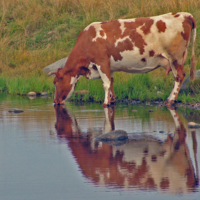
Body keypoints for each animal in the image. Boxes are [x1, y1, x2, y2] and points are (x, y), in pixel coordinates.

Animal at [49, 11, 196, 107]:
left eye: (55, 82)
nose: (55, 102)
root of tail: (184, 14)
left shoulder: (101, 62)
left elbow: (106, 83)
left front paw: (105, 103)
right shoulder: (110, 66)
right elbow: (111, 82)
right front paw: (112, 99)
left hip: (175, 57)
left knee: (179, 77)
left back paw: (171, 100)